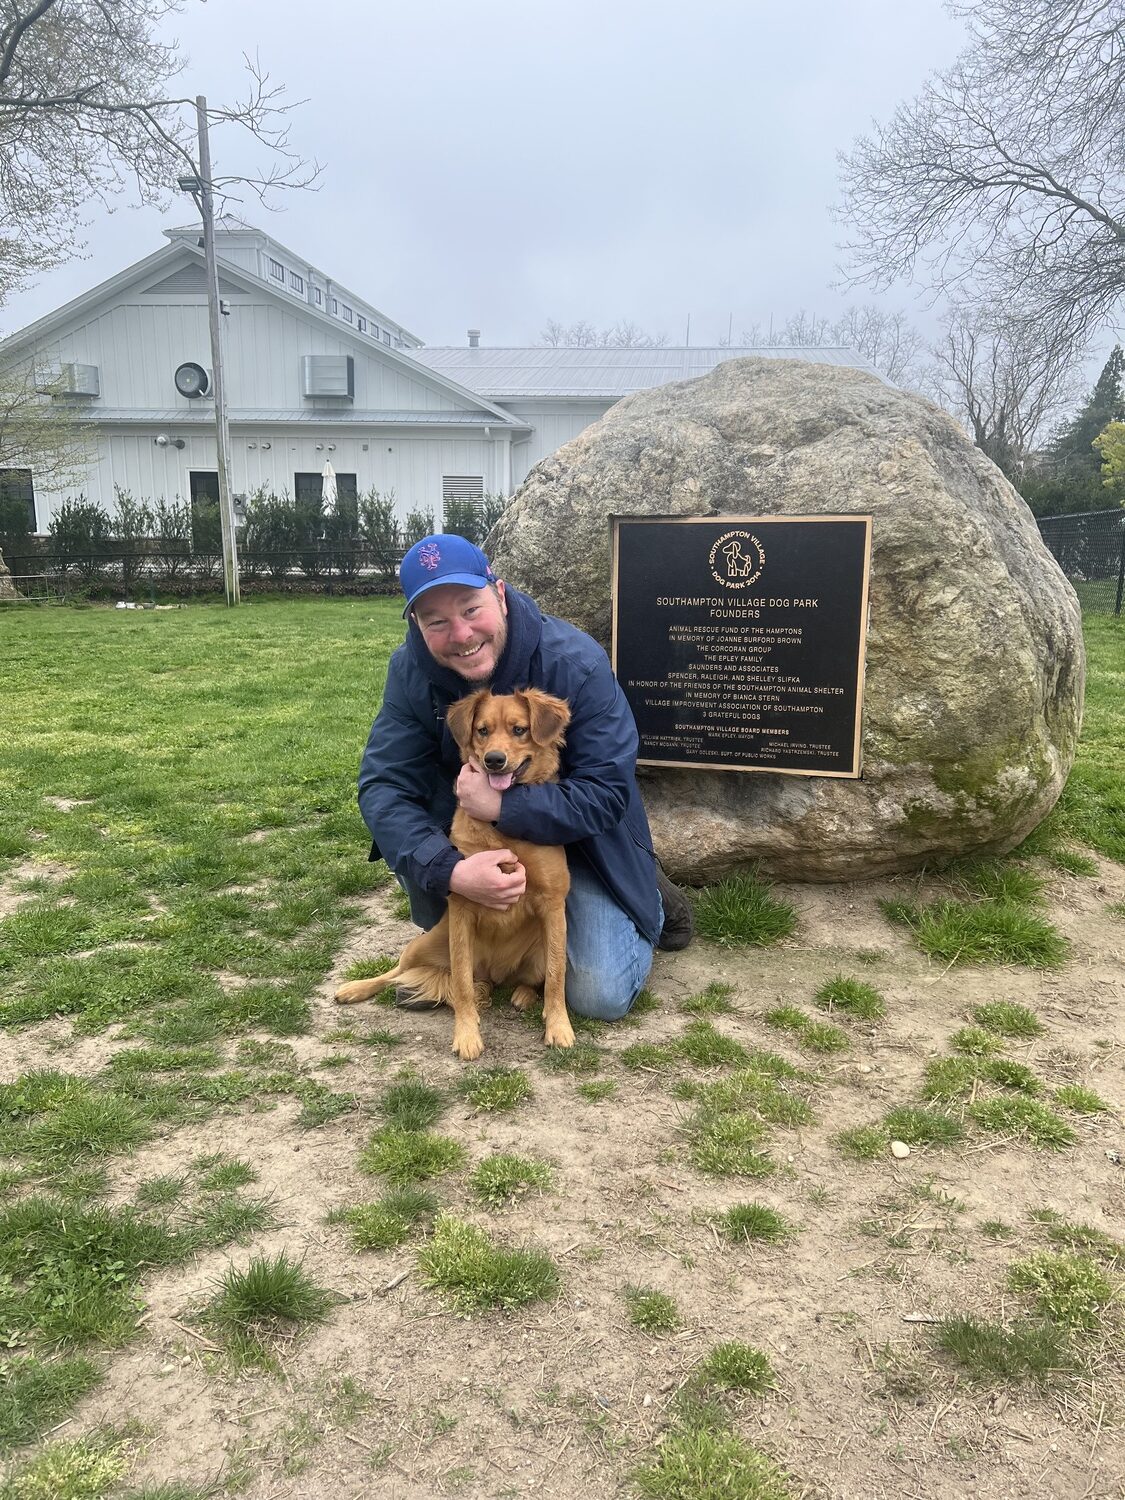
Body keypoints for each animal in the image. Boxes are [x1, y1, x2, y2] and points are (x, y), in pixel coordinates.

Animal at [337, 687, 576, 1062]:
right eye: (482, 730)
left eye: (519, 730)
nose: (494, 760)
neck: (500, 824)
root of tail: (494, 975)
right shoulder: (463, 906)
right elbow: (462, 981)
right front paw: (466, 1033)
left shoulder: (553, 905)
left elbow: (556, 977)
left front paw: (559, 1026)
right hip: (425, 943)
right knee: (397, 973)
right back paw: (355, 987)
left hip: (541, 948)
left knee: (531, 978)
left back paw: (522, 995)